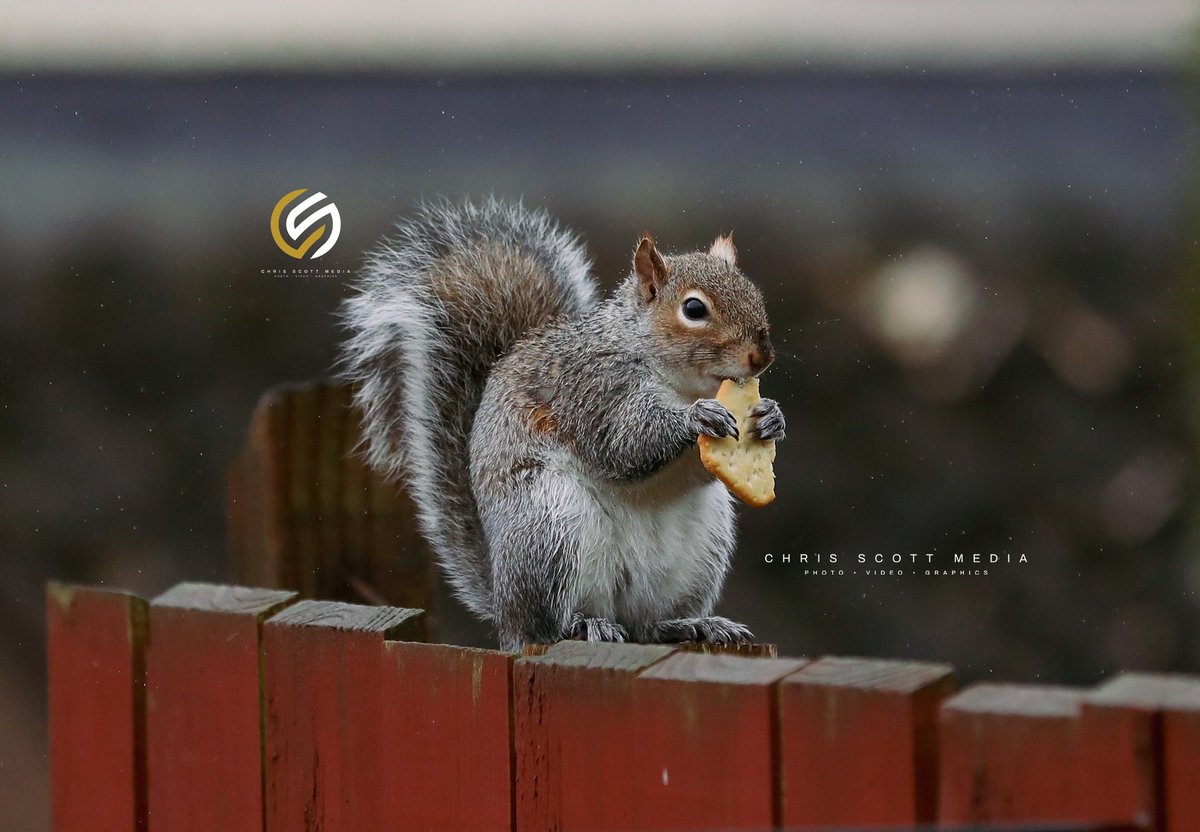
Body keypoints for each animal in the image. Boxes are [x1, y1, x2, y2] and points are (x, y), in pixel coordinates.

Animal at [340, 198, 787, 653]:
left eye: (752, 291)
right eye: (694, 309)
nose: (762, 356)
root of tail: (505, 611)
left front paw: (771, 416)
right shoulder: (591, 387)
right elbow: (624, 443)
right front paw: (695, 417)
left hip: (700, 550)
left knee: (647, 626)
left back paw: (691, 624)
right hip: (550, 527)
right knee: (548, 623)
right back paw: (583, 624)